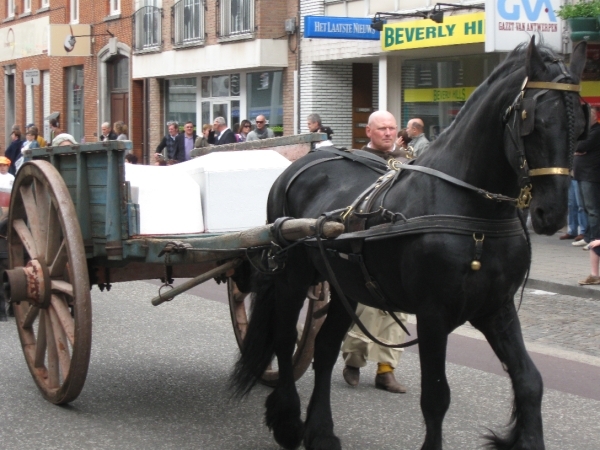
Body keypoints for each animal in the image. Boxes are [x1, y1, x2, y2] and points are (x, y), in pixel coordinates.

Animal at [232, 39, 588, 450]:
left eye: (580, 124)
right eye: (532, 120)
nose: (552, 212)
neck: (475, 213)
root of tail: (301, 162)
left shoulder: (495, 308)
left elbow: (530, 382)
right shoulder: (434, 314)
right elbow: (435, 396)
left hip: (345, 287)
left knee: (324, 348)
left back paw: (321, 431)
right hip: (293, 274)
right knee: (285, 338)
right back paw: (289, 421)